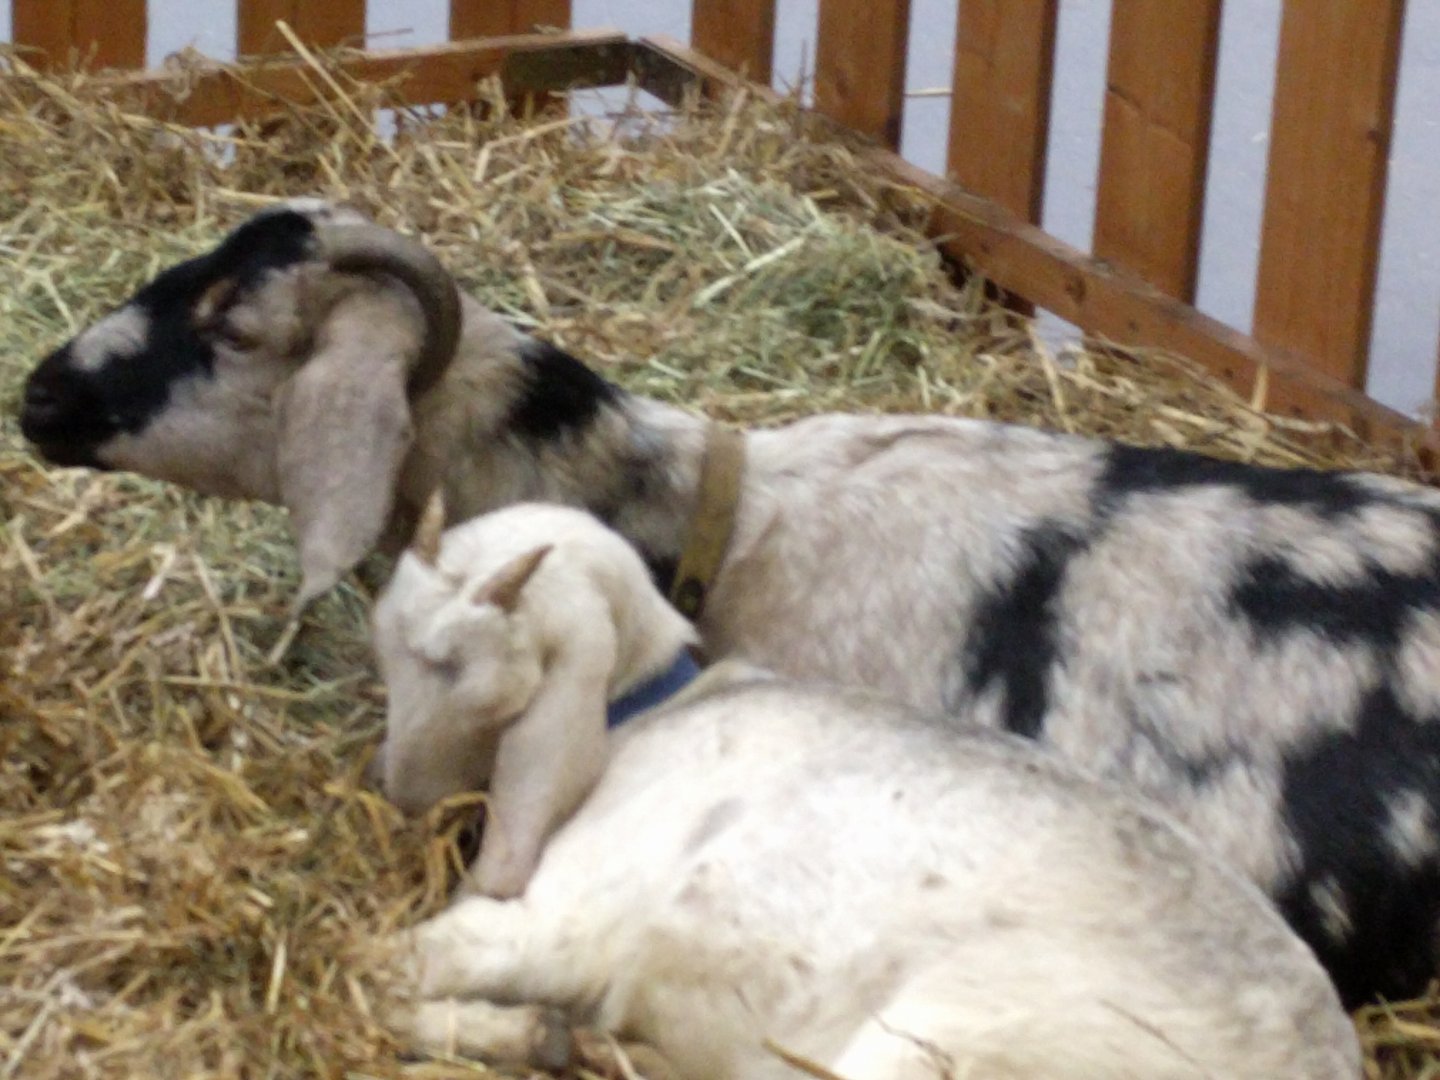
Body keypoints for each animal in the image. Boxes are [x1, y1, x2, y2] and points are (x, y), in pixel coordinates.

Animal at [372, 500, 1361, 1080]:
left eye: (454, 668)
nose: (393, 788)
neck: (649, 711)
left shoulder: (570, 915)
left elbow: (415, 956)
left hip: (935, 1048)